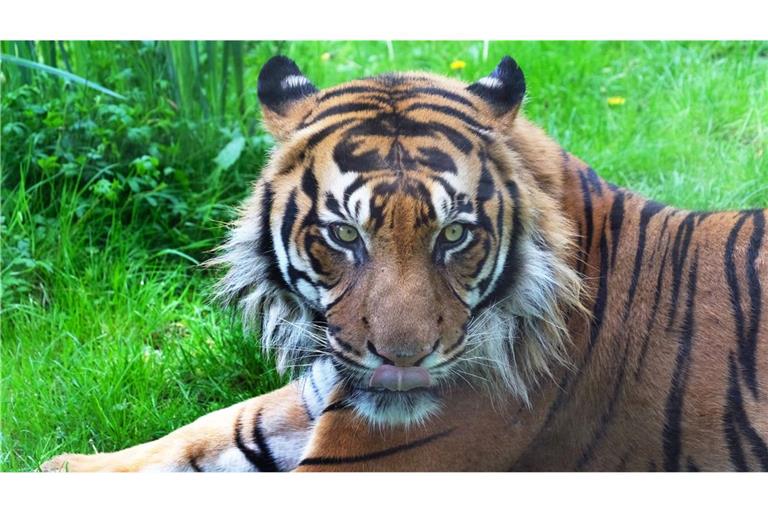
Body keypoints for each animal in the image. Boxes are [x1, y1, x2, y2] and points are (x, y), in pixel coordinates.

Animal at [41, 55, 767, 472]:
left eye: (454, 235)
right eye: (343, 234)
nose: (403, 359)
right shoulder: (313, 393)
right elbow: (194, 435)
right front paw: (57, 467)